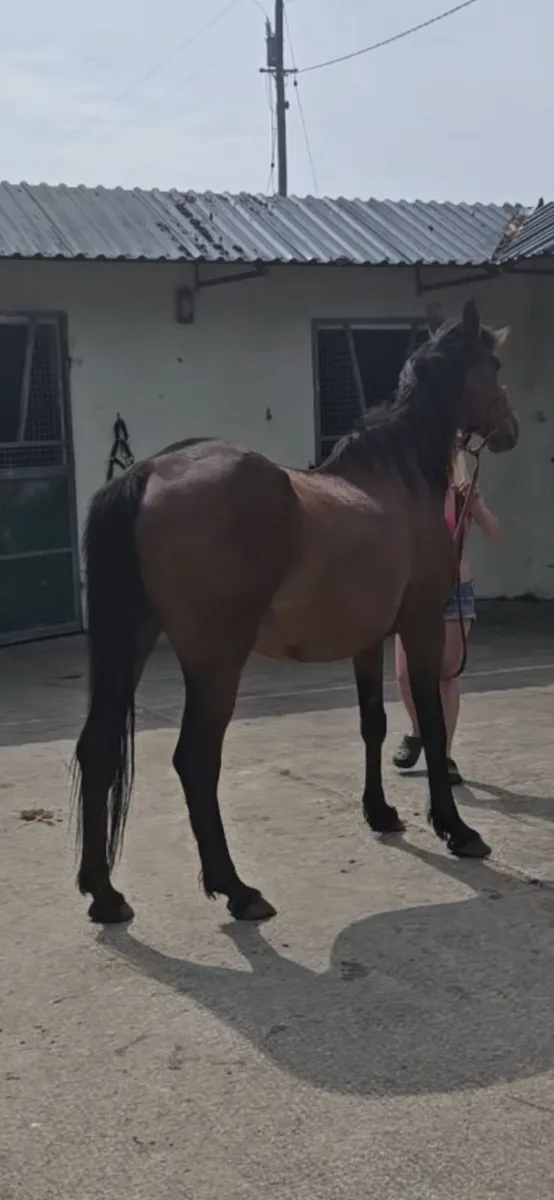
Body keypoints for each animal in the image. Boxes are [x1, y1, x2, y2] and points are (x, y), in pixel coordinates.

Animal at [73, 299, 519, 926]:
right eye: (494, 364)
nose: (511, 430)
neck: (395, 480)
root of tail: (148, 473)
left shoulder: (367, 638)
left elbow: (374, 723)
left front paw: (381, 813)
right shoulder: (422, 624)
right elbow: (430, 721)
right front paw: (456, 829)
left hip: (135, 640)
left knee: (97, 747)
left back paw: (105, 894)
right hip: (216, 663)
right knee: (195, 760)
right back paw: (237, 889)